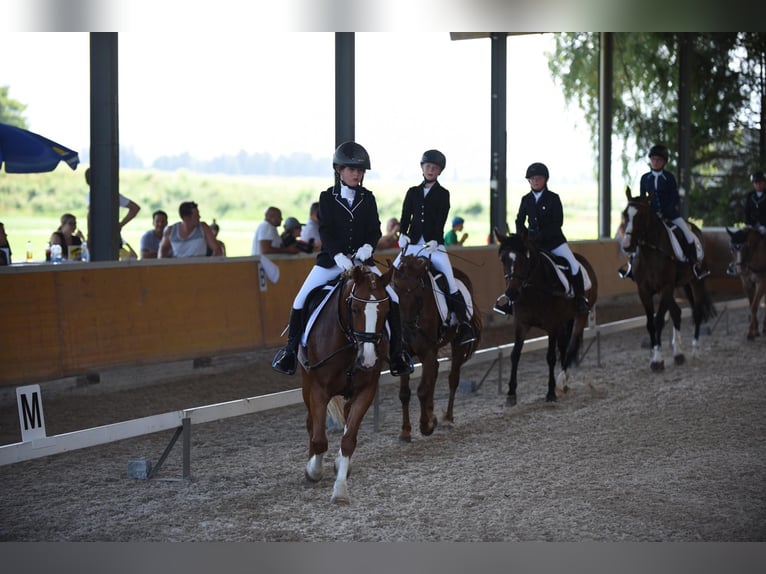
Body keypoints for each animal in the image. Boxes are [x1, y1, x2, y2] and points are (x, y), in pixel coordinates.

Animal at [300, 264, 392, 506]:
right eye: (356, 309)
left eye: (386, 310)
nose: (367, 360)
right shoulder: (318, 390)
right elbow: (320, 440)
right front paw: (313, 471)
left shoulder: (365, 391)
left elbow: (349, 440)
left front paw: (340, 489)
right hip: (306, 385)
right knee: (311, 423)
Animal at [392, 252, 484, 440]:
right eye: (395, 292)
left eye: (418, 295)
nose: (406, 331)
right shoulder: (406, 355)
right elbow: (404, 393)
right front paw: (405, 430)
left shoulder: (427, 350)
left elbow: (422, 390)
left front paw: (425, 426)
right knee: (434, 372)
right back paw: (432, 415)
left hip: (457, 344)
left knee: (452, 379)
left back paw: (447, 419)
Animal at [498, 227, 600, 408]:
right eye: (503, 259)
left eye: (524, 258)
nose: (511, 293)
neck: (533, 290)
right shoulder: (521, 324)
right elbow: (515, 355)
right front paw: (511, 394)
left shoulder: (552, 325)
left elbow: (551, 357)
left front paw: (551, 393)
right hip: (565, 320)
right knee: (564, 346)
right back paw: (563, 384)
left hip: (580, 316)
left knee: (570, 346)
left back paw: (562, 382)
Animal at [624, 187, 720, 372]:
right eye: (625, 214)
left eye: (641, 216)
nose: (626, 245)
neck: (651, 251)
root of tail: (695, 229)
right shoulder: (644, 290)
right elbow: (650, 323)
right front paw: (656, 357)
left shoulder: (665, 287)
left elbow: (659, 320)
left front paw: (657, 360)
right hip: (678, 287)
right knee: (677, 312)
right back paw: (678, 354)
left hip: (695, 283)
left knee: (697, 312)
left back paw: (694, 351)